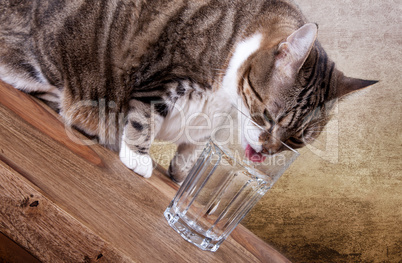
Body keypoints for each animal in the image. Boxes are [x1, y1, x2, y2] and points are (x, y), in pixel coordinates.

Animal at [0, 0, 376, 182]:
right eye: (267, 116)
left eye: (295, 140)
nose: (267, 151)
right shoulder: (165, 75)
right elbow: (143, 117)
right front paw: (137, 156)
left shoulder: (210, 126)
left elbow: (194, 149)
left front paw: (182, 173)